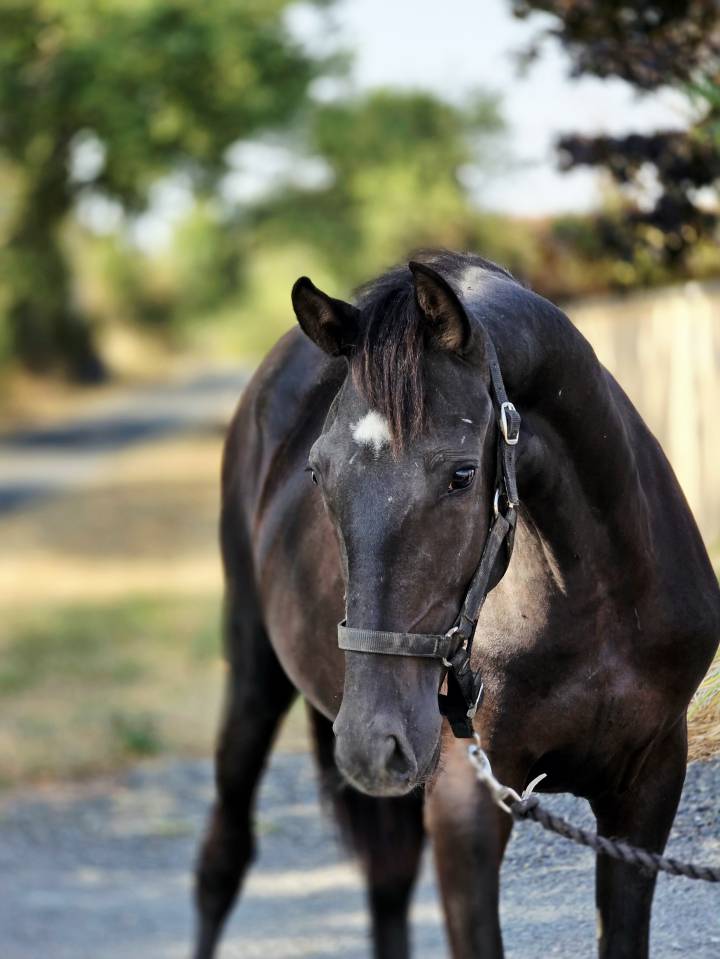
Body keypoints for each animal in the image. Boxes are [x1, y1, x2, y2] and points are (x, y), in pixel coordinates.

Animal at [193, 251, 719, 959]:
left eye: (462, 475)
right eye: (318, 472)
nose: (369, 742)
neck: (598, 606)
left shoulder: (649, 786)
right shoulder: (467, 800)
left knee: (386, 882)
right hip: (257, 678)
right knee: (222, 859)